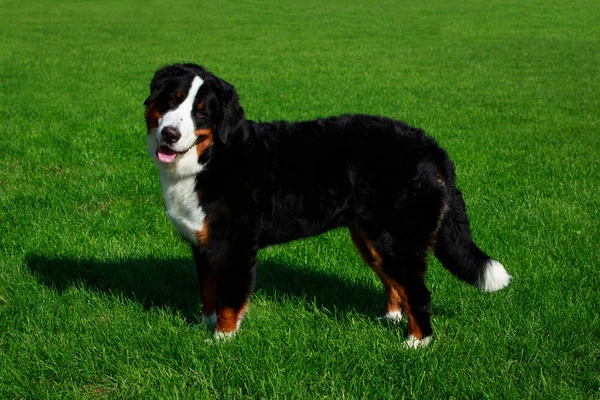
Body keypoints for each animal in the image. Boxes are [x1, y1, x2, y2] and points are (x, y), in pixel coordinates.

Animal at [142, 62, 510, 346]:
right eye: (171, 100)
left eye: (201, 112)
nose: (170, 134)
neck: (214, 158)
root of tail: (433, 148)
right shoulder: (203, 244)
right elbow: (208, 291)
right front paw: (203, 325)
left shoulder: (236, 245)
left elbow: (230, 298)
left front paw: (221, 339)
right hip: (373, 239)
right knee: (397, 285)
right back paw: (390, 319)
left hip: (399, 239)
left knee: (417, 292)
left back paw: (416, 343)